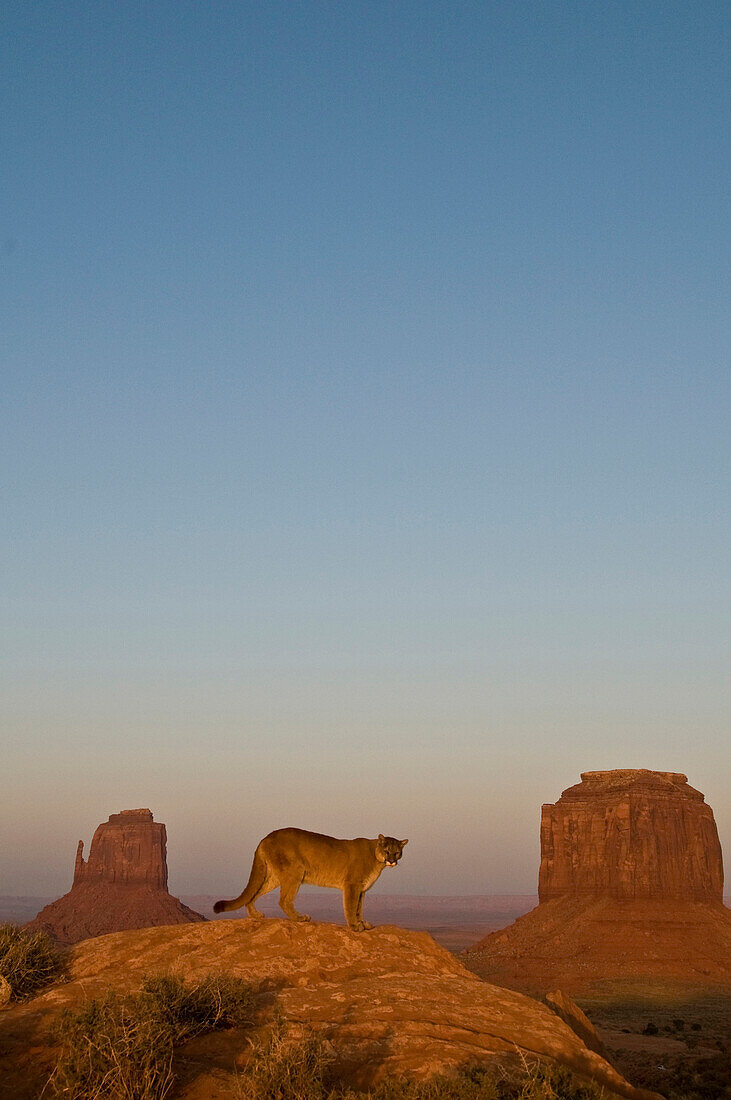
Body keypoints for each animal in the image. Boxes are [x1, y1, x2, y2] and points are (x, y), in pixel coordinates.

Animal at [214, 827, 406, 932]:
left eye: (397, 852)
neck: (376, 858)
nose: (392, 860)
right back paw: (300, 918)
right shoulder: (352, 885)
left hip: (273, 877)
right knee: (284, 900)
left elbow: (359, 908)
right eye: (387, 850)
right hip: (295, 872)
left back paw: (256, 915)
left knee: (254, 893)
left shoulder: (362, 889)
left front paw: (363, 923)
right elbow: (351, 907)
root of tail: (266, 837)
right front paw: (354, 926)